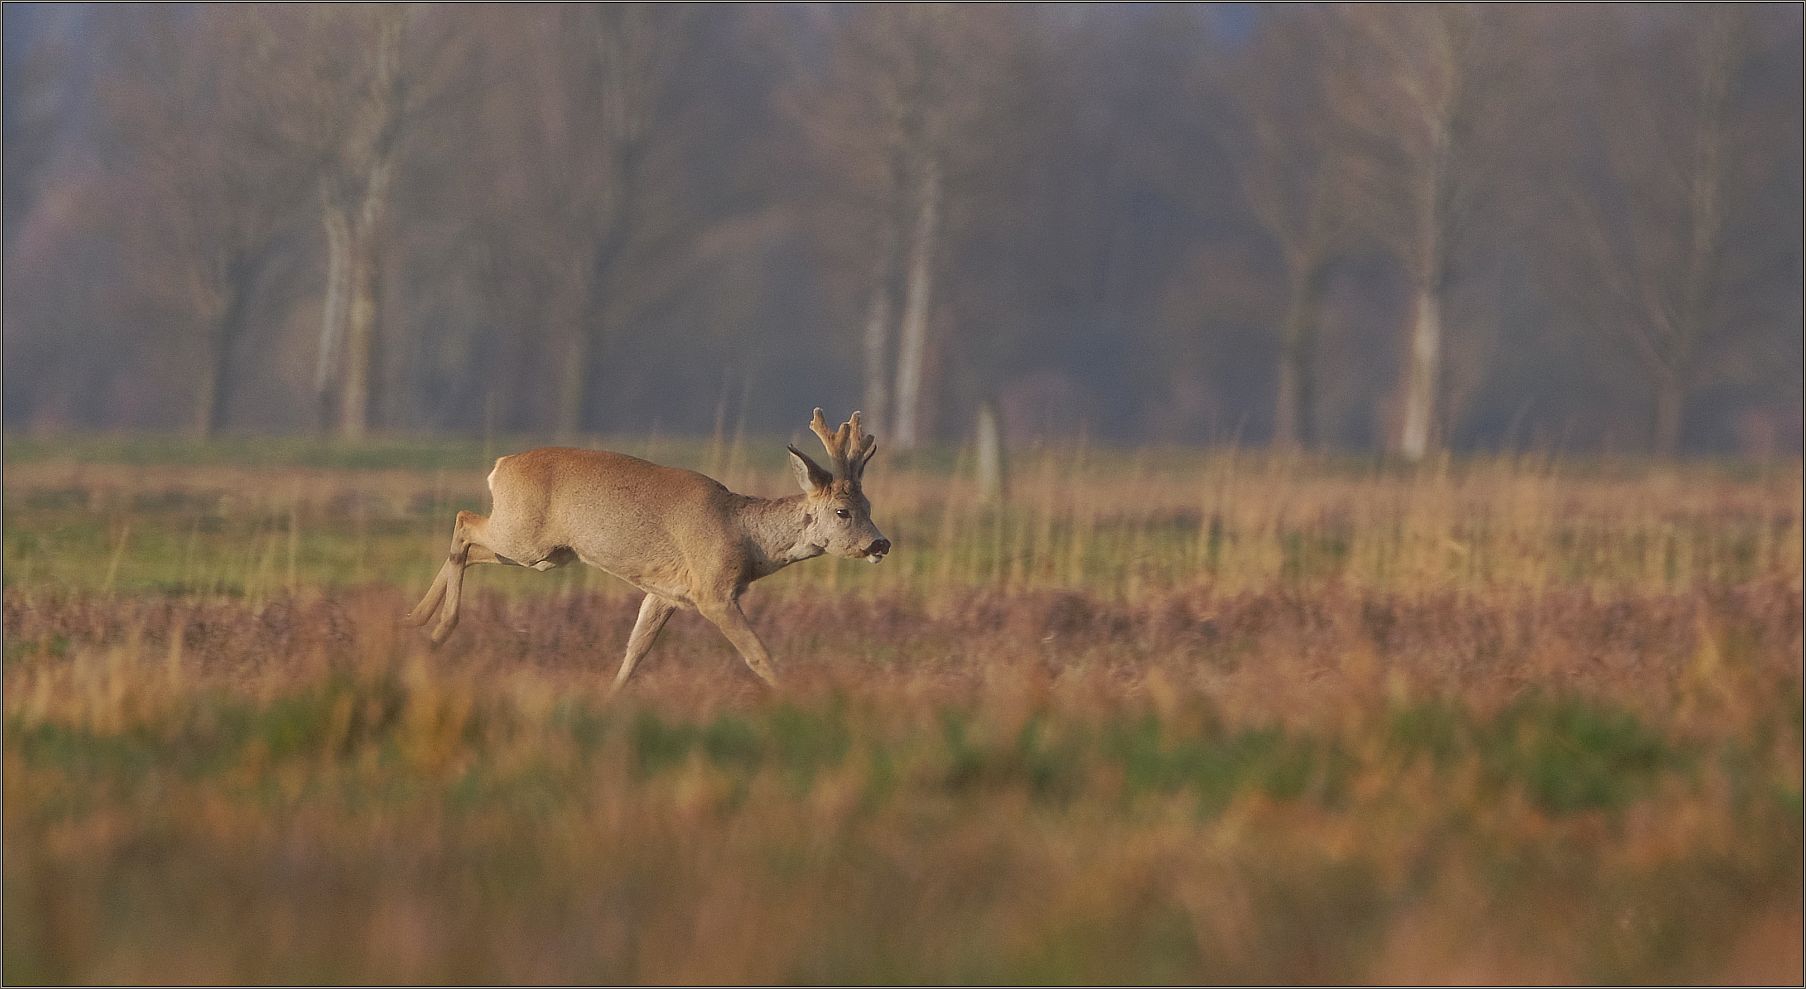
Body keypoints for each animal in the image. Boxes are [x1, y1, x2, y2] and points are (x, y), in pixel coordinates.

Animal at [406, 409, 892, 689]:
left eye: (869, 505)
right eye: (844, 512)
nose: (881, 543)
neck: (743, 534)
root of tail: (499, 465)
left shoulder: (665, 593)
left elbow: (635, 650)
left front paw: (611, 696)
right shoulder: (712, 592)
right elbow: (758, 654)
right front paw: (789, 696)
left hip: (546, 554)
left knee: (469, 541)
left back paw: (416, 620)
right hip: (524, 536)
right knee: (464, 522)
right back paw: (439, 627)